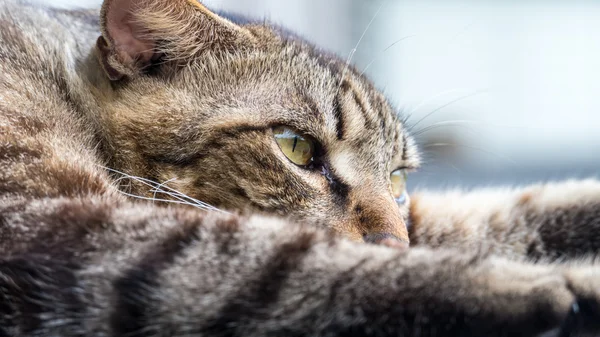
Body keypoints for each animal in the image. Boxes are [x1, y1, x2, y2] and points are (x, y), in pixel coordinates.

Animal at [1, 0, 600, 334]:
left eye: (397, 178)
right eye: (296, 148)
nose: (395, 241)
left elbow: (507, 212)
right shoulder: (63, 225)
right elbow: (309, 264)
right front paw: (561, 283)